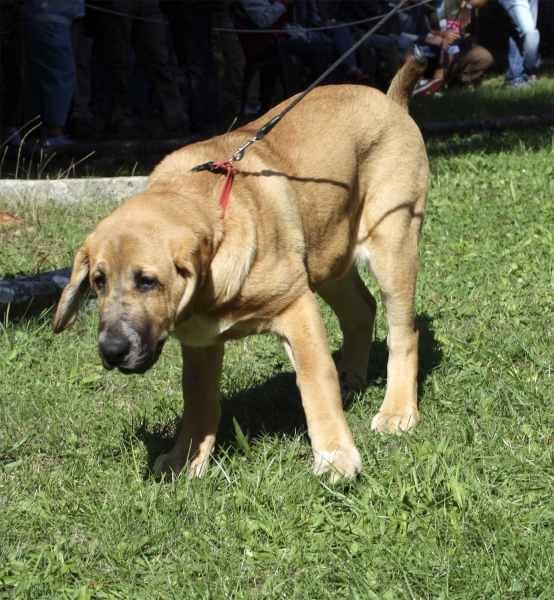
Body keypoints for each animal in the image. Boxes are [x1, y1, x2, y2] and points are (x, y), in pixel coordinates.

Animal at [54, 56, 426, 482]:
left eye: (147, 281)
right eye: (98, 281)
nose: (112, 351)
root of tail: (391, 101)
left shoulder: (297, 307)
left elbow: (316, 381)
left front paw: (335, 454)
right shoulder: (200, 341)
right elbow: (198, 398)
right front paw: (186, 457)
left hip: (392, 243)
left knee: (403, 333)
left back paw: (397, 411)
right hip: (326, 254)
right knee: (361, 310)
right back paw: (353, 380)